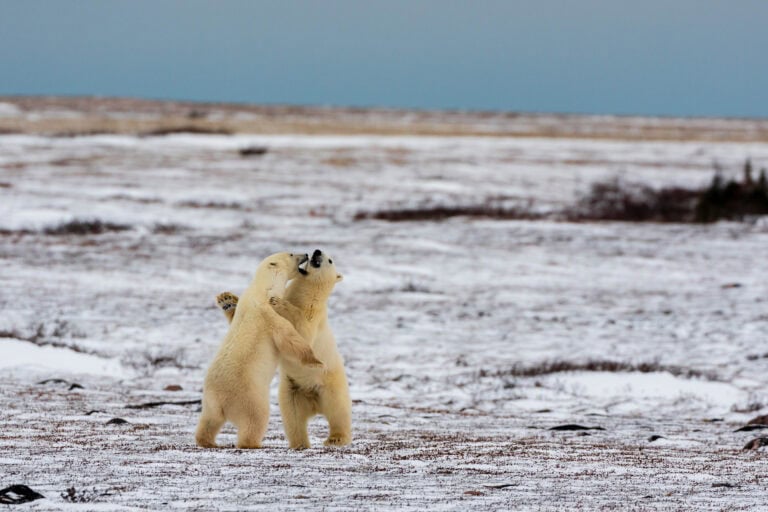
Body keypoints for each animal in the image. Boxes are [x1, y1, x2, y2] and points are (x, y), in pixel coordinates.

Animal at [195, 252, 322, 449]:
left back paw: (207, 441)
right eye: (292, 253)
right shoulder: (267, 311)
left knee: (209, 421)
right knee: (255, 419)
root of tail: (221, 401)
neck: (263, 288)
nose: (306, 254)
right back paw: (253, 443)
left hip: (208, 402)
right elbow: (290, 336)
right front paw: (315, 361)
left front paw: (228, 302)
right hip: (250, 397)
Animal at [216, 249, 351, 449]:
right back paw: (300, 443)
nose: (316, 251)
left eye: (330, 260)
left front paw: (278, 302)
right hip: (292, 390)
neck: (306, 297)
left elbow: (303, 333)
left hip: (331, 385)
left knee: (338, 411)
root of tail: (314, 402)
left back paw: (336, 438)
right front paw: (228, 300)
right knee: (293, 418)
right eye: (319, 252)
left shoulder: (314, 317)